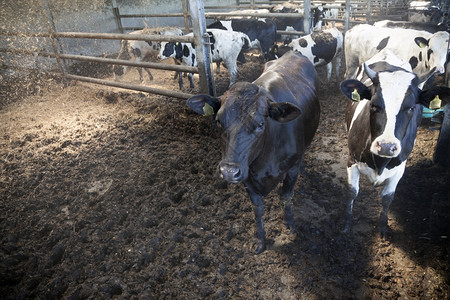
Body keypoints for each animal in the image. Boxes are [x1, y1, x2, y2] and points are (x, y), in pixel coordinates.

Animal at [185, 51, 320, 253]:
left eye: (260, 124)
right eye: (218, 120)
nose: (228, 171)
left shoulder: (291, 169)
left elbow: (286, 196)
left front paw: (289, 224)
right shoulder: (246, 174)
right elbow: (258, 208)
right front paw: (260, 240)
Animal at [340, 49, 448, 236]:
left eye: (411, 107)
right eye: (373, 105)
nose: (386, 146)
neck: (379, 162)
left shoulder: (399, 168)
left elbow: (387, 198)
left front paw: (383, 227)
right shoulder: (351, 160)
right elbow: (352, 192)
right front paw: (347, 223)